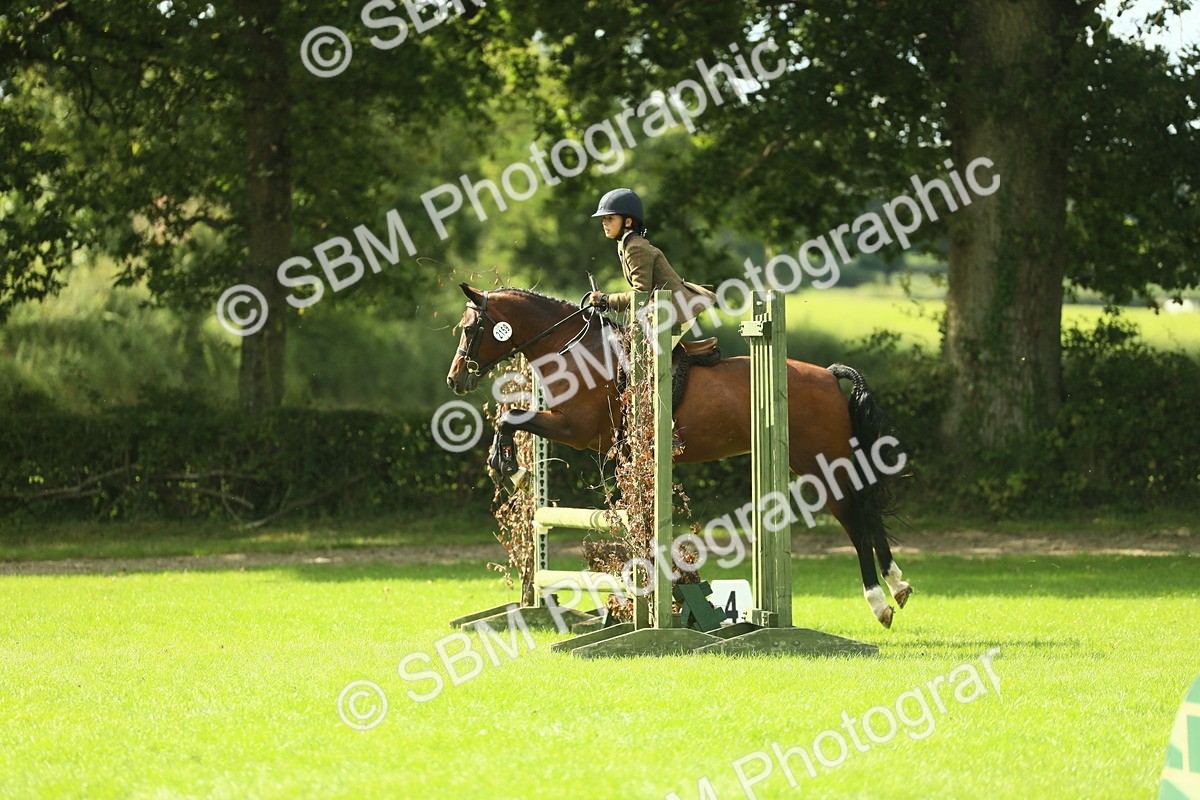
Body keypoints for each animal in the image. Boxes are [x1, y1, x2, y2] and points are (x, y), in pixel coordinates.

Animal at [445, 283, 913, 628]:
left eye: (469, 329)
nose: (455, 380)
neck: (573, 352)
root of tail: (829, 375)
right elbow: (510, 418)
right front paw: (512, 469)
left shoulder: (574, 429)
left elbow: (511, 418)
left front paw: (509, 467)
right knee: (866, 510)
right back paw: (898, 586)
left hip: (820, 462)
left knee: (854, 516)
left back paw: (880, 602)